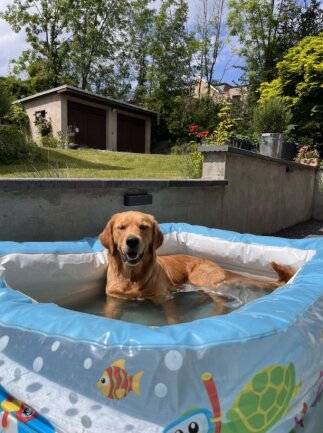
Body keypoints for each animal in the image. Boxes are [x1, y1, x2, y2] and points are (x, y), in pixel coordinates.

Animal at [99, 211, 296, 322]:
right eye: (121, 227)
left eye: (143, 227)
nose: (132, 241)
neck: (133, 277)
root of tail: (219, 267)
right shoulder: (113, 300)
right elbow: (108, 316)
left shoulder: (166, 299)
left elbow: (173, 318)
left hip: (201, 278)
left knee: (221, 302)